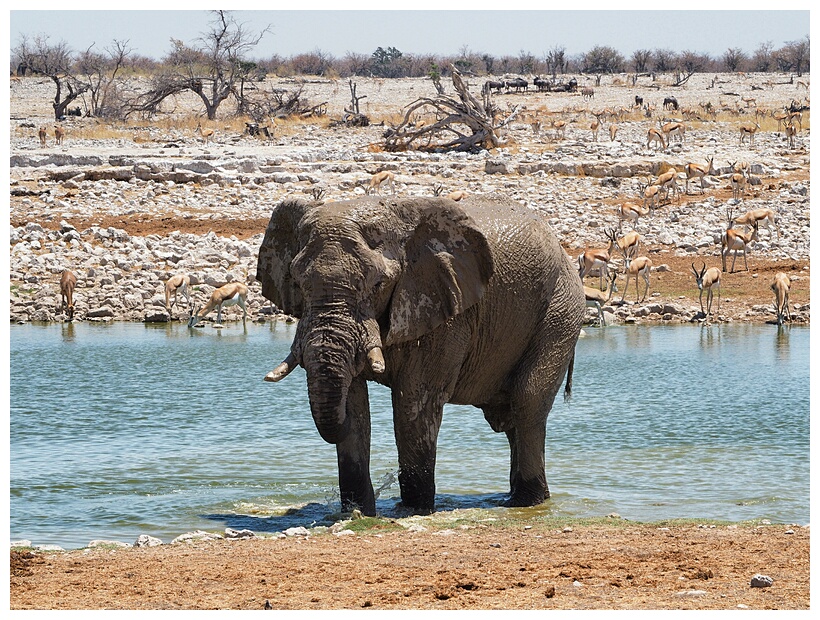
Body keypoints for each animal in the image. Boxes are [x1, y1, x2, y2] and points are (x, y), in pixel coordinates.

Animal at [256, 196, 584, 516]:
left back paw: (526, 502)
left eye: (378, 284)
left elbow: (415, 399)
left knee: (528, 400)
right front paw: (357, 513)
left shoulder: (445, 311)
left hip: (561, 312)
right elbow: (354, 400)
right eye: (297, 282)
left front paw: (414, 510)